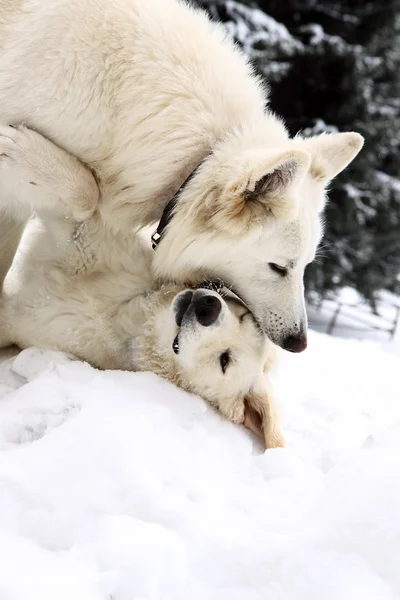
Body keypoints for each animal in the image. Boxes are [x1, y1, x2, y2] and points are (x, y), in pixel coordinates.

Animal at [0, 124, 284, 448]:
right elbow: (87, 197)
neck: (130, 312)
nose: (207, 306)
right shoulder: (87, 238)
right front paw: (22, 149)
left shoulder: (25, 321)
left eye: (224, 360)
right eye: (246, 316)